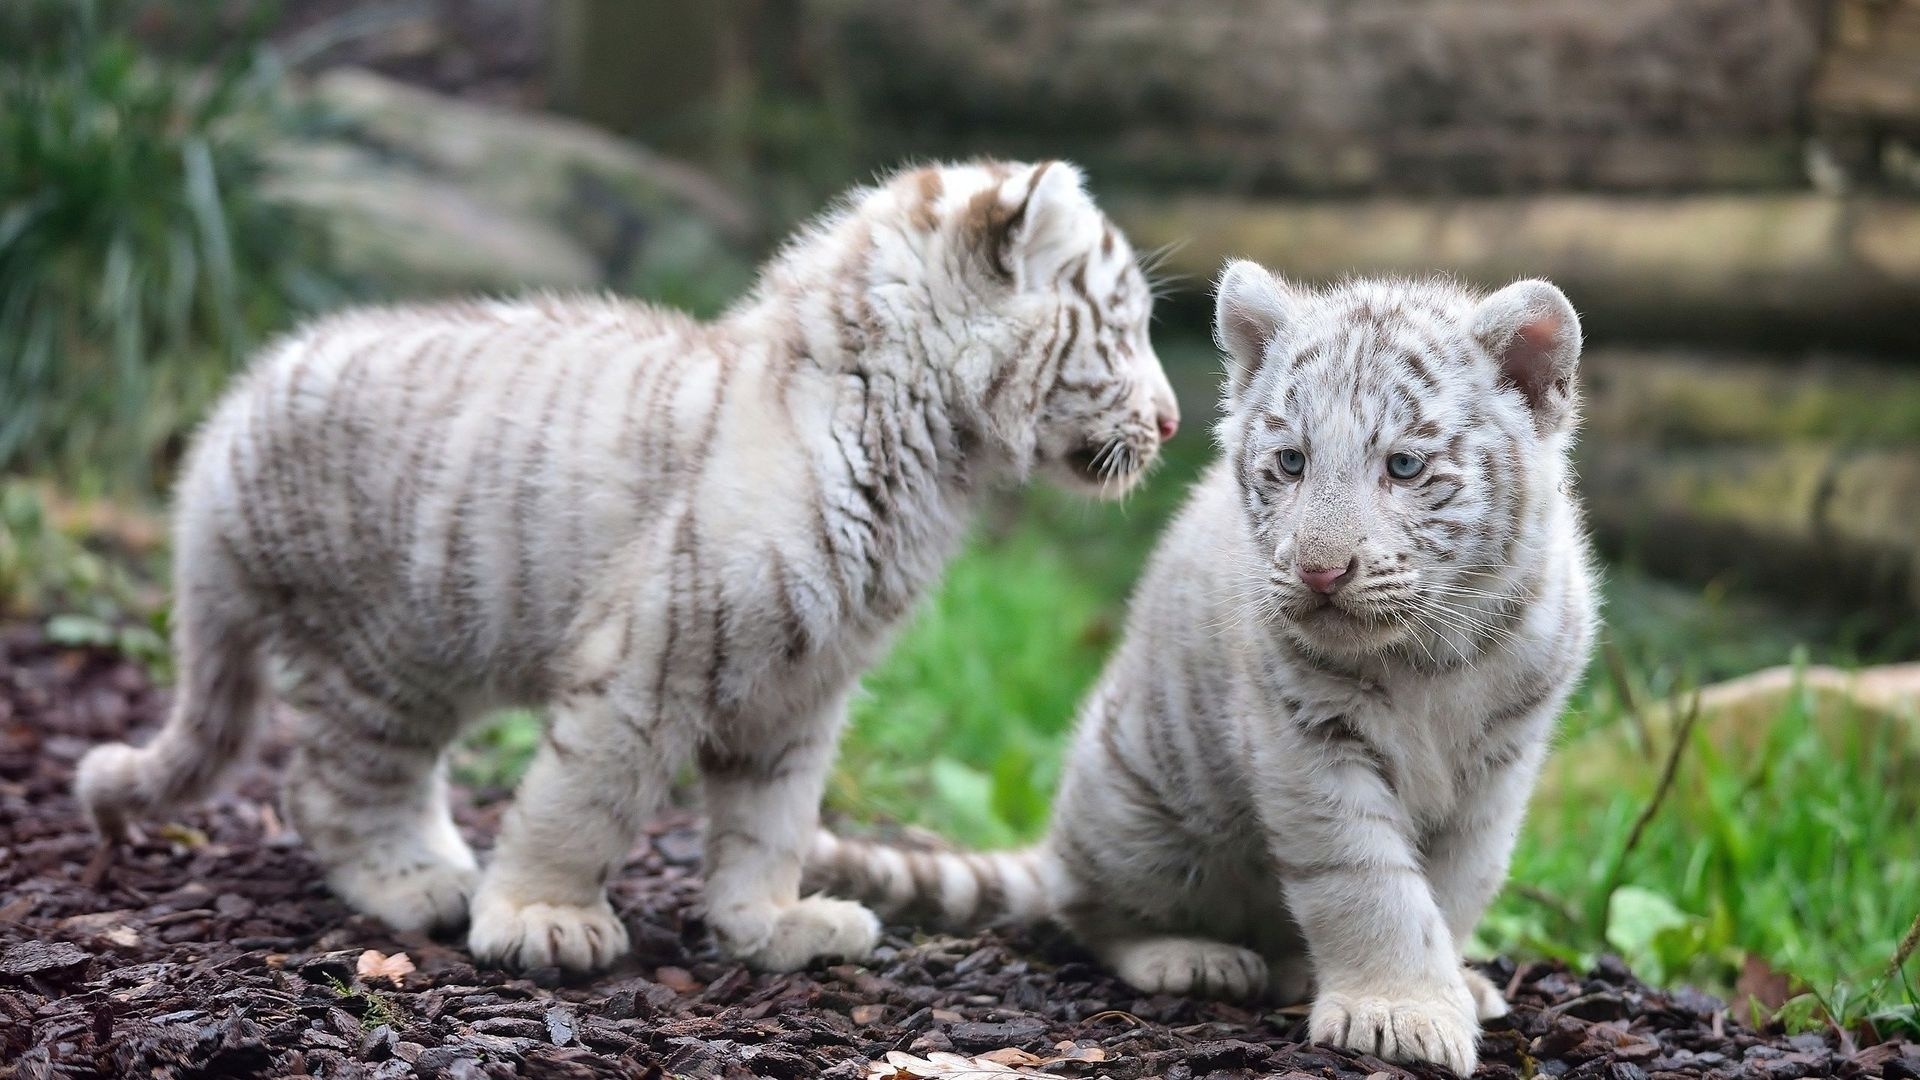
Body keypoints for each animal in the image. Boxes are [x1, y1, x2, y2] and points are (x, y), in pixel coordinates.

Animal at [74, 160, 1179, 975]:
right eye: (1123, 328)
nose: (1171, 422)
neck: (926, 456)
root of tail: (225, 425)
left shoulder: (801, 690)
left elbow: (773, 819)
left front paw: (771, 926)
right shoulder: (653, 657)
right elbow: (584, 801)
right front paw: (541, 920)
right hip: (384, 652)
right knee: (329, 785)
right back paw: (420, 885)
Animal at [808, 262, 1598, 1075]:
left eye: (1404, 466)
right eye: (1291, 463)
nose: (1319, 572)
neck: (1426, 652)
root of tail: (1056, 847)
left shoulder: (1500, 765)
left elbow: (1459, 881)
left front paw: (1443, 988)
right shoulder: (1308, 743)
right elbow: (1368, 884)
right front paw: (1398, 1011)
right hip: (1131, 816)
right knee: (1089, 913)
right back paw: (1192, 958)